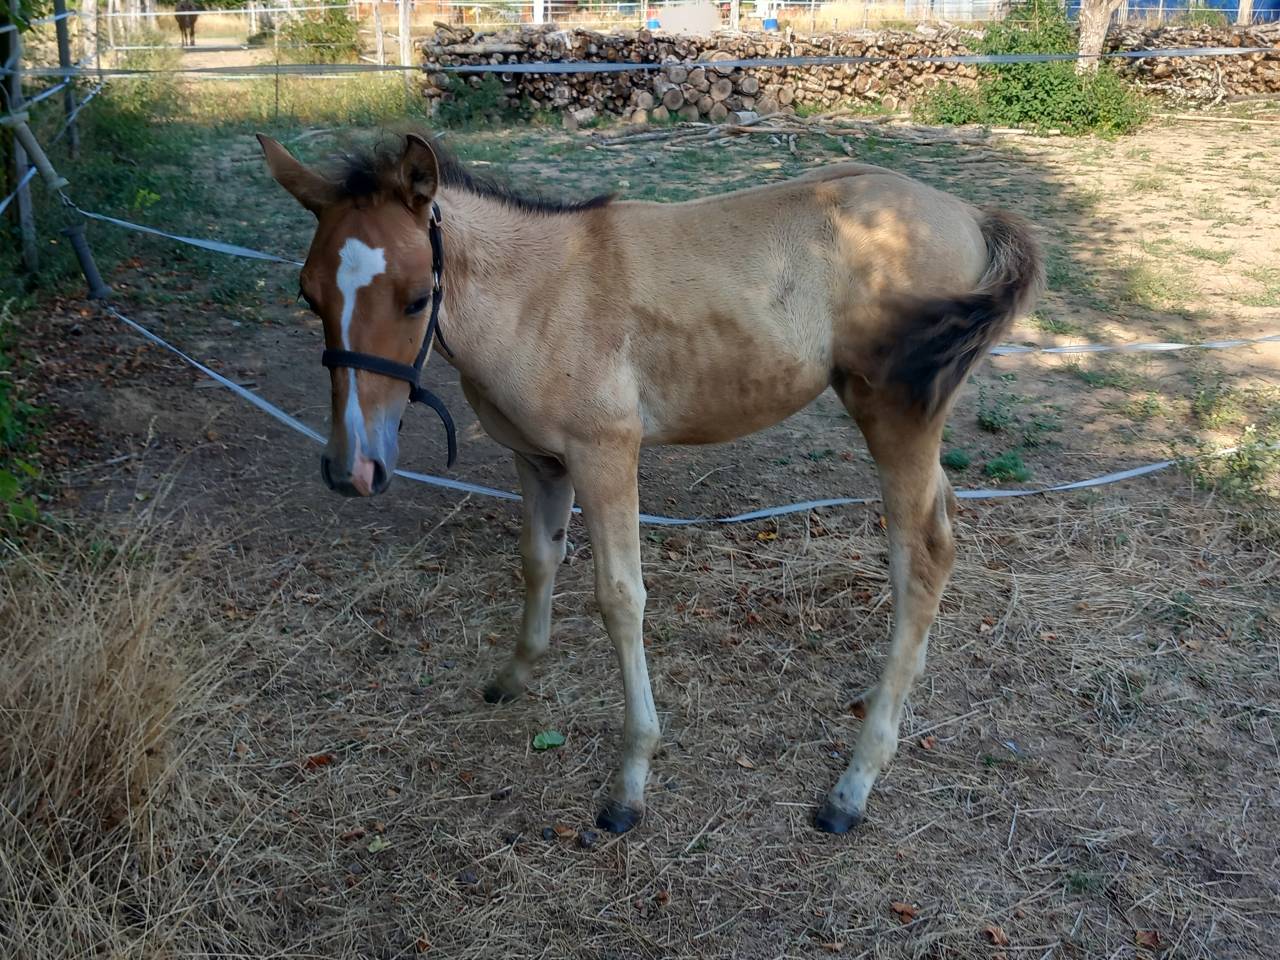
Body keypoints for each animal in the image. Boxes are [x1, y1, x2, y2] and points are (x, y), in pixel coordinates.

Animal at [257, 130, 1043, 835]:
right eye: (307, 293)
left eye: (417, 297)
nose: (352, 469)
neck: (541, 295)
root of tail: (971, 214)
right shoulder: (537, 460)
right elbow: (538, 559)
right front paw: (513, 676)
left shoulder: (606, 454)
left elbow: (620, 598)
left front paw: (628, 785)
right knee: (942, 534)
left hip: (896, 416)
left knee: (923, 555)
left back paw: (852, 786)